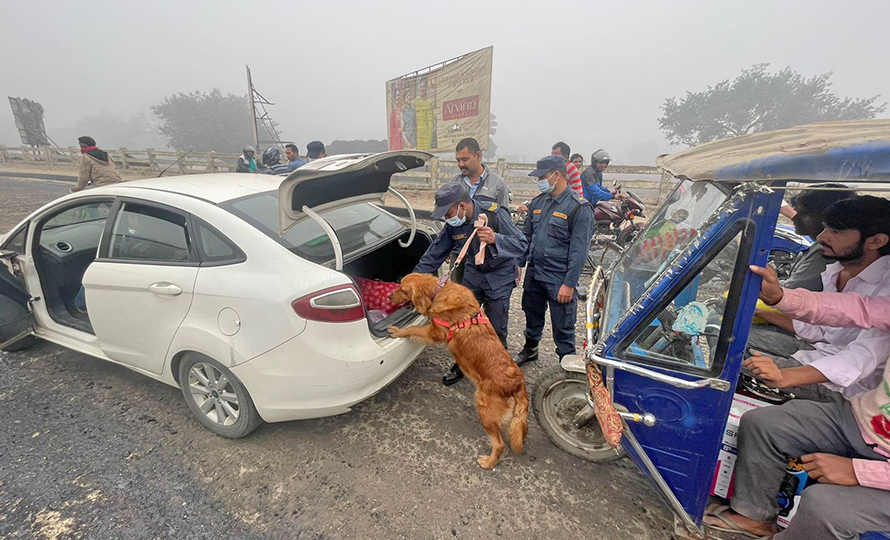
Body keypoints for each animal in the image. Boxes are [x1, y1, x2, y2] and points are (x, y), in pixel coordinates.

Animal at [384, 274, 524, 468]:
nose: (389, 297)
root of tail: (517, 382)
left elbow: (412, 329)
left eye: (403, 290)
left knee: (499, 444)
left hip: (485, 410)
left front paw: (398, 331)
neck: (439, 291)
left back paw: (488, 462)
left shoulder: (434, 332)